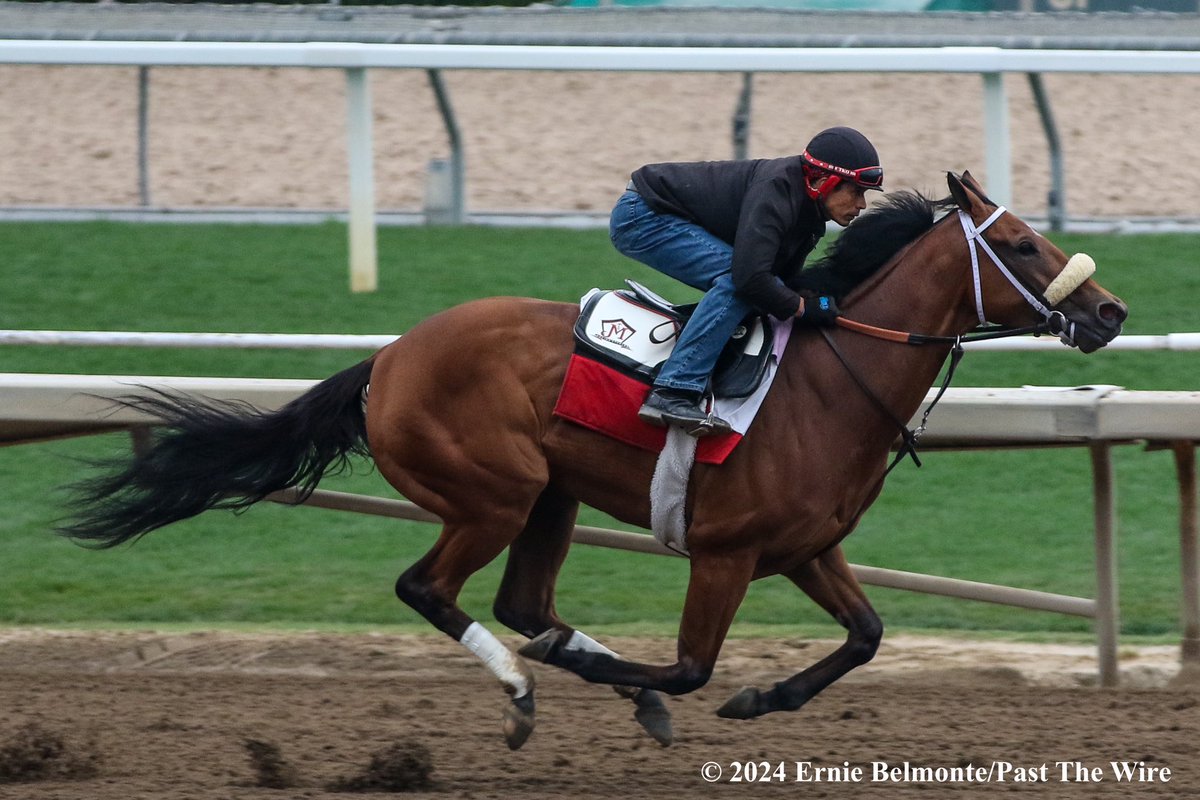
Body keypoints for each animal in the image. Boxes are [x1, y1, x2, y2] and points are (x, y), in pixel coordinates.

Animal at [58, 170, 1123, 753]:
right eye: (1023, 243)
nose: (1109, 310)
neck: (831, 381)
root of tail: (387, 361)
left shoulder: (807, 547)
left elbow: (866, 636)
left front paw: (759, 696)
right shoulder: (727, 552)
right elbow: (692, 667)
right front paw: (668, 687)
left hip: (550, 498)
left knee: (526, 601)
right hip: (494, 493)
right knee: (431, 589)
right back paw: (526, 688)